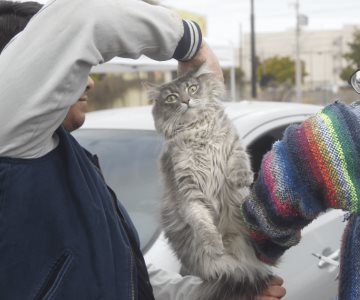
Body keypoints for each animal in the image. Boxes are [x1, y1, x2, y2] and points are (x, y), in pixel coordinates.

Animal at [146, 64, 272, 298]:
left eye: (192, 88)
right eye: (171, 98)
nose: (186, 100)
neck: (198, 131)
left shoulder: (234, 146)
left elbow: (239, 161)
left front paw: (242, 177)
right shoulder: (188, 189)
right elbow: (202, 221)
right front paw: (214, 245)